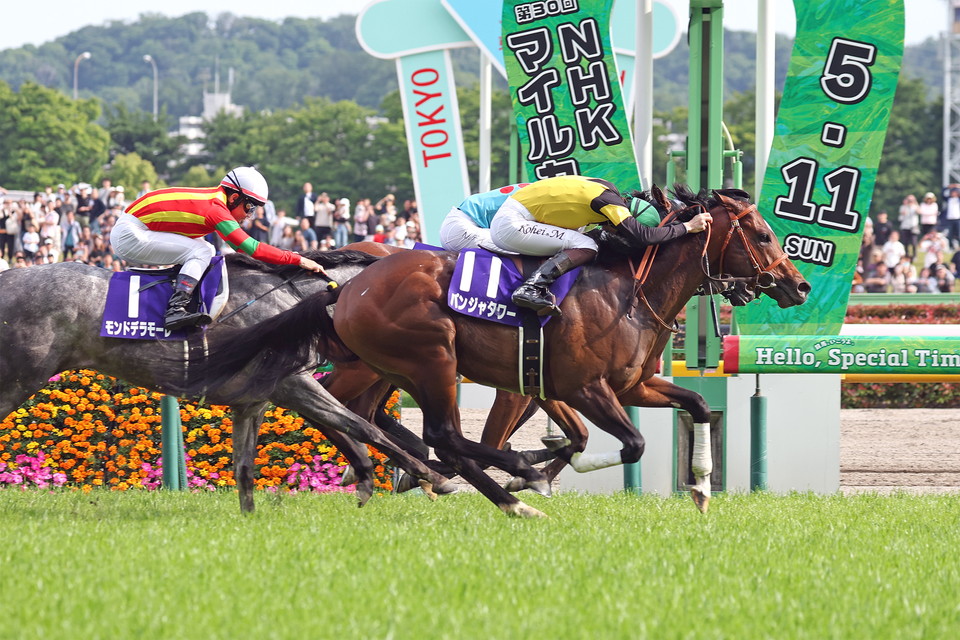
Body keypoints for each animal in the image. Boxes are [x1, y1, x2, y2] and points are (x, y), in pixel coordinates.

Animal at [0, 249, 459, 512]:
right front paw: (433, 477)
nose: (448, 347)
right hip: (19, 377)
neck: (293, 302)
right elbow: (362, 425)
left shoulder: (256, 399)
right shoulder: (294, 383)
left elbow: (245, 467)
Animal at [157, 186, 811, 517]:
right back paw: (491, 479)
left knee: (382, 420)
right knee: (431, 431)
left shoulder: (628, 385)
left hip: (404, 368)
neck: (628, 287)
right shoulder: (580, 386)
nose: (799, 285)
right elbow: (625, 444)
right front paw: (540, 470)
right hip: (431, 357)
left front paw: (700, 486)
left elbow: (695, 406)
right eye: (761, 234)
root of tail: (349, 286)